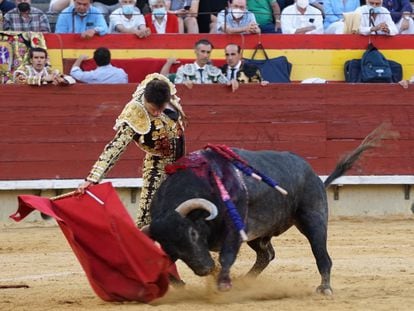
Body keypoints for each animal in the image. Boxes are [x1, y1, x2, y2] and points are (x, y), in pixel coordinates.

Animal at [148, 127, 384, 294]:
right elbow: (165, 266)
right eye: (170, 245)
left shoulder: (234, 228)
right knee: (266, 255)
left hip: (313, 218)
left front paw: (223, 284)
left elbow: (226, 256)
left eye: (193, 233)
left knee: (321, 253)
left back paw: (325, 288)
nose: (204, 269)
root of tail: (311, 172)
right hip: (259, 233)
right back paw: (245, 282)